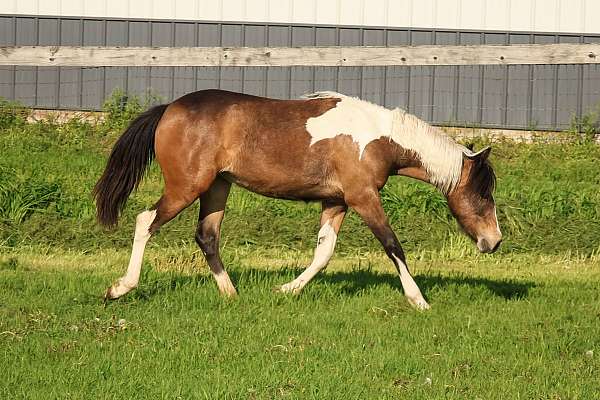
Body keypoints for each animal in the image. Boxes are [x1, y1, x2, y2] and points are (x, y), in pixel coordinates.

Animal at [94, 90, 500, 310]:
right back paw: (119, 288)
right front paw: (419, 300)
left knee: (207, 236)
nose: (494, 242)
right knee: (145, 221)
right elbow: (392, 245)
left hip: (217, 187)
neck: (375, 138)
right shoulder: (363, 197)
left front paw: (287, 289)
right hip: (186, 186)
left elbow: (323, 253)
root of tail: (169, 109)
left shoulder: (337, 202)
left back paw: (231, 294)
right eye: (483, 192)